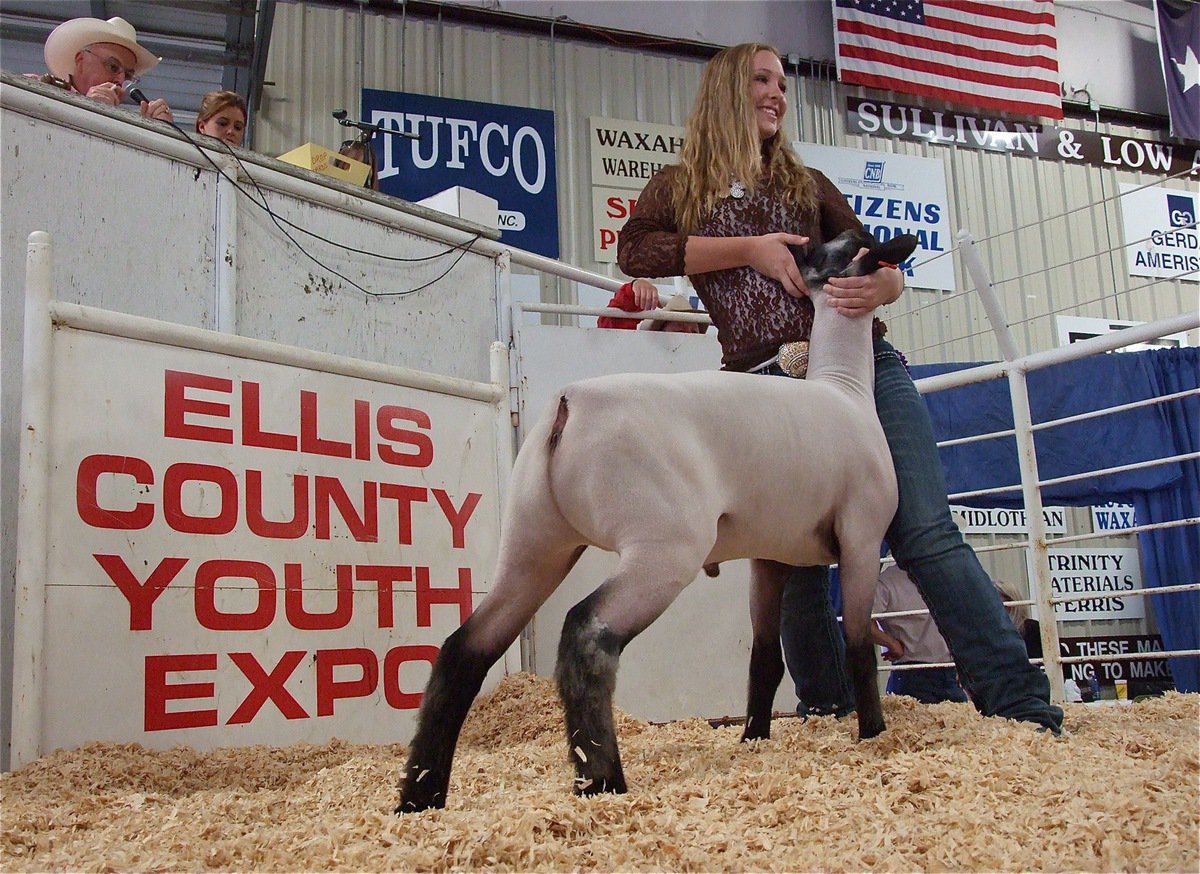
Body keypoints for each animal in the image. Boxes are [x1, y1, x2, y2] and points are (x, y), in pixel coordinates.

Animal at [400, 229, 916, 806]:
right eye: (847, 245)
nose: (797, 248)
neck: (845, 388)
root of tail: (569, 403)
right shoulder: (862, 538)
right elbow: (859, 645)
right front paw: (873, 733)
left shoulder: (770, 554)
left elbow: (764, 656)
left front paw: (753, 738)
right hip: (665, 550)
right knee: (587, 634)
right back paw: (602, 780)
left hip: (534, 545)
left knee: (465, 648)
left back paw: (421, 795)